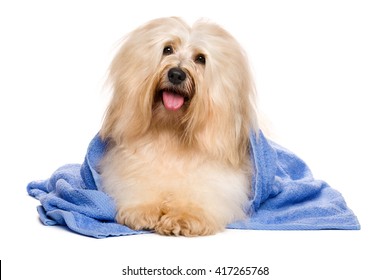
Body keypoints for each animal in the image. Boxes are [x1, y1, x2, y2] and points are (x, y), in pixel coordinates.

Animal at [100, 17, 258, 236]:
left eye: (200, 58)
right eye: (167, 49)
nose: (176, 74)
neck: (171, 131)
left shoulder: (219, 181)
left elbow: (200, 196)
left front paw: (183, 217)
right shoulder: (132, 166)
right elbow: (139, 184)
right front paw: (143, 209)